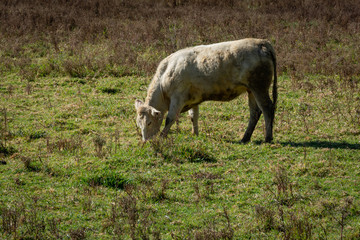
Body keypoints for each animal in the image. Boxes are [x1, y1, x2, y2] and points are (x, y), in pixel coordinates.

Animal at [135, 38, 278, 142]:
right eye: (139, 124)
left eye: (149, 123)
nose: (145, 141)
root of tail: (262, 43)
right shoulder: (193, 99)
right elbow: (194, 116)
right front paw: (195, 134)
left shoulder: (178, 97)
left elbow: (170, 118)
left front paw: (162, 136)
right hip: (251, 90)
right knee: (255, 112)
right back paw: (245, 138)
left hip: (259, 87)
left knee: (267, 108)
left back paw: (268, 138)